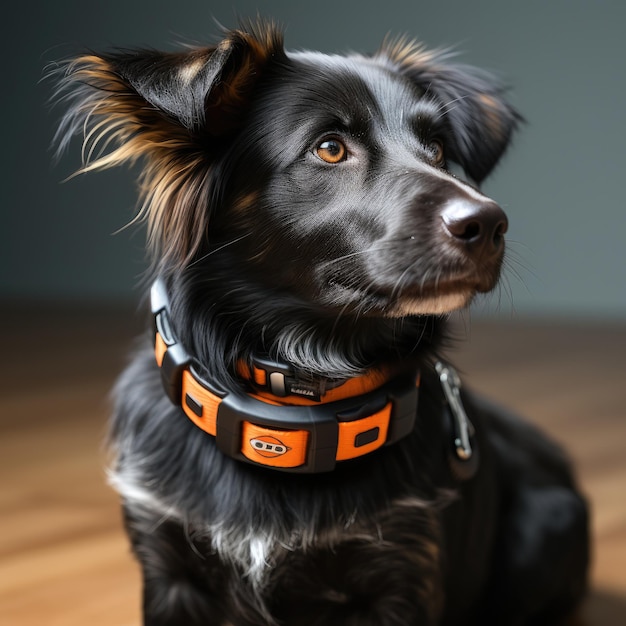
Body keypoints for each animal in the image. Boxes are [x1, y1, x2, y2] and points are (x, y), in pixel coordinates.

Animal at [52, 19, 584, 624]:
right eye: (329, 148)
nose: (489, 224)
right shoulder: (171, 573)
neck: (294, 401)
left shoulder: (399, 578)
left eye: (439, 148)